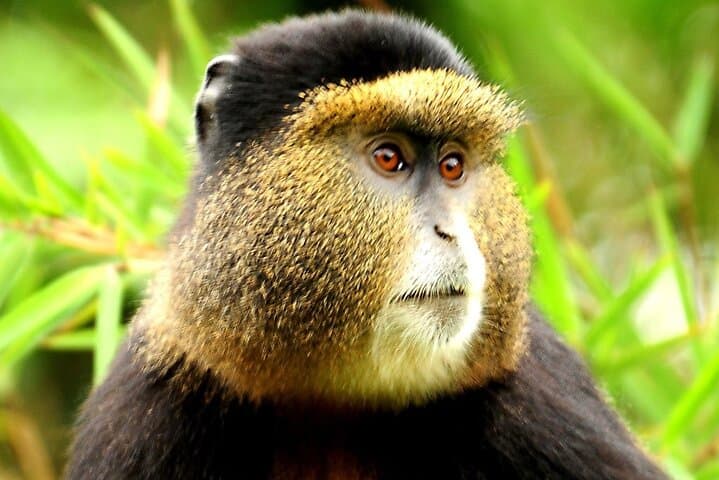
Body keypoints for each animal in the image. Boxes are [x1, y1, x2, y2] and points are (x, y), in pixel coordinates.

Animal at [66, 10, 668, 480]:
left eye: (453, 165)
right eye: (388, 157)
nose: (451, 231)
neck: (336, 400)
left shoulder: (542, 392)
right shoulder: (145, 407)